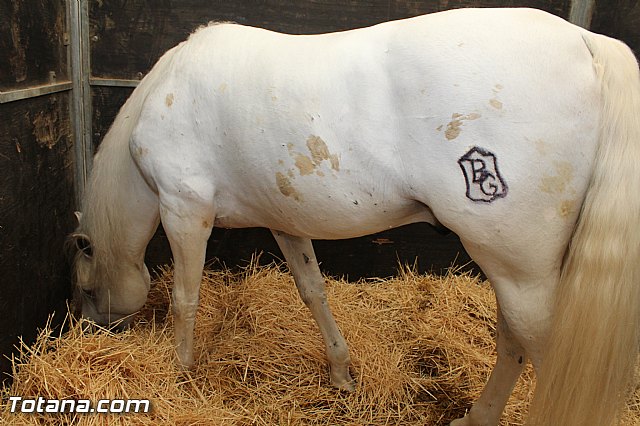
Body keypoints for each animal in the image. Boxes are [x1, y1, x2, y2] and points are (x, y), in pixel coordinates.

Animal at [69, 8, 640, 425]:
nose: (95, 331)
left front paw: (180, 372)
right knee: (512, 343)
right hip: (512, 271)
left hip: (520, 273)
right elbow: (313, 290)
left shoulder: (184, 210)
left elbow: (185, 299)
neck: (165, 95)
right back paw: (478, 416)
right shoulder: (285, 221)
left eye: (88, 287)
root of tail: (585, 42)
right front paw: (342, 373)